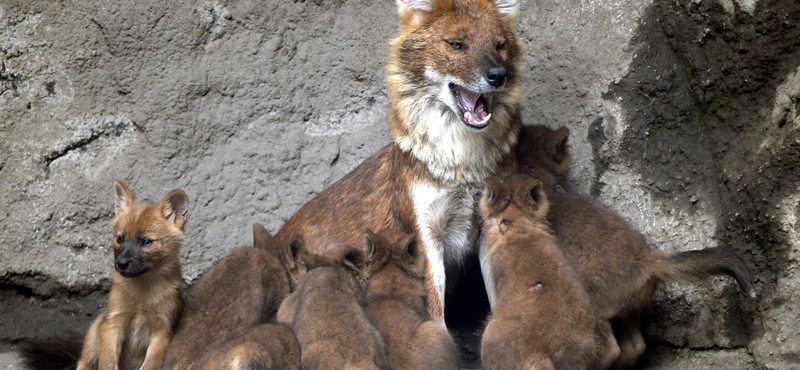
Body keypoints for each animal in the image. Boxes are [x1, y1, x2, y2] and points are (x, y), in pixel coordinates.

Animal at [75, 181, 188, 370]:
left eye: (146, 242)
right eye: (120, 238)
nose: (121, 263)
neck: (143, 293)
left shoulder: (162, 332)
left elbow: (149, 365)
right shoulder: (113, 324)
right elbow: (108, 363)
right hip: (92, 342)